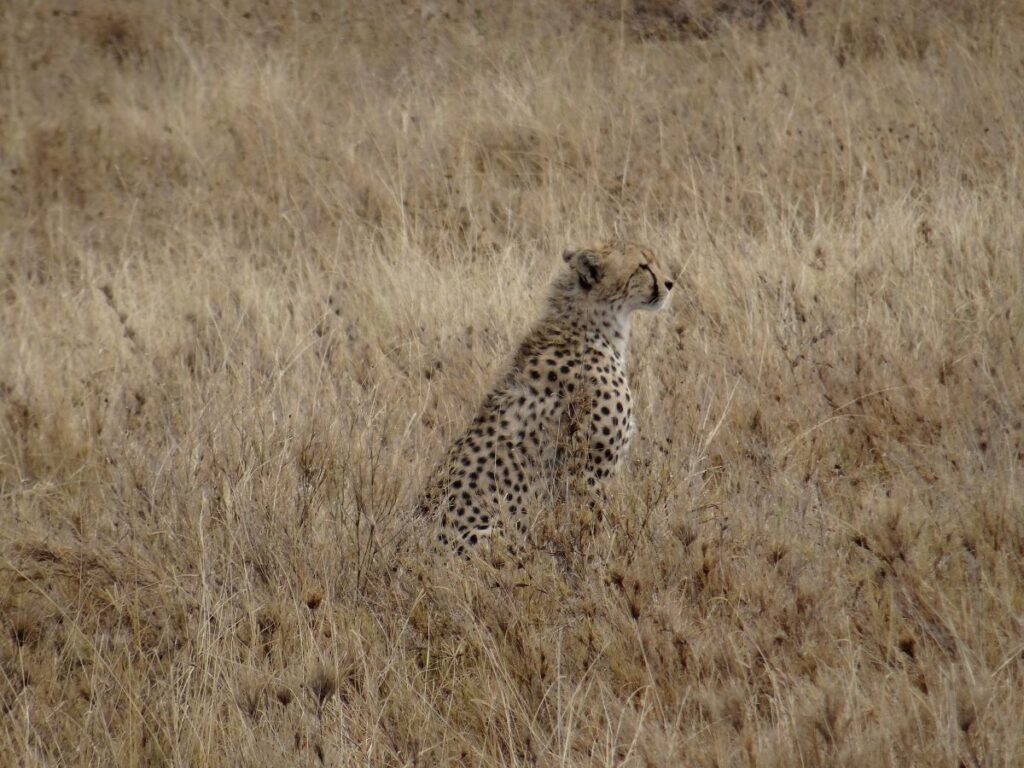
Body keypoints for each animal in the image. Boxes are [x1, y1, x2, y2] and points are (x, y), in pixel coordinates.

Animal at [415, 241, 674, 557]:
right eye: (643, 266)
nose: (670, 283)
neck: (591, 324)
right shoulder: (589, 472)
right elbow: (591, 528)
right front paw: (599, 561)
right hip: (497, 533)